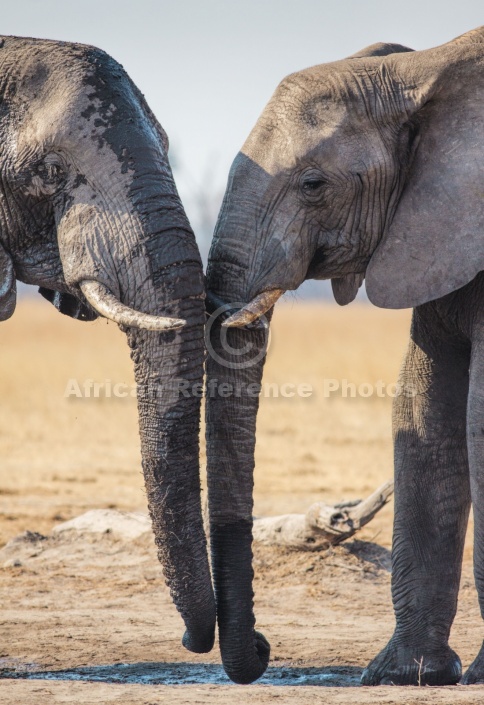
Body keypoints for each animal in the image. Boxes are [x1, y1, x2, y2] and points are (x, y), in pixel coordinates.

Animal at [206, 26, 484, 680]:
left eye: (313, 185)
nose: (264, 648)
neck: (422, 70)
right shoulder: (434, 235)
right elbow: (423, 410)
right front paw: (404, 676)